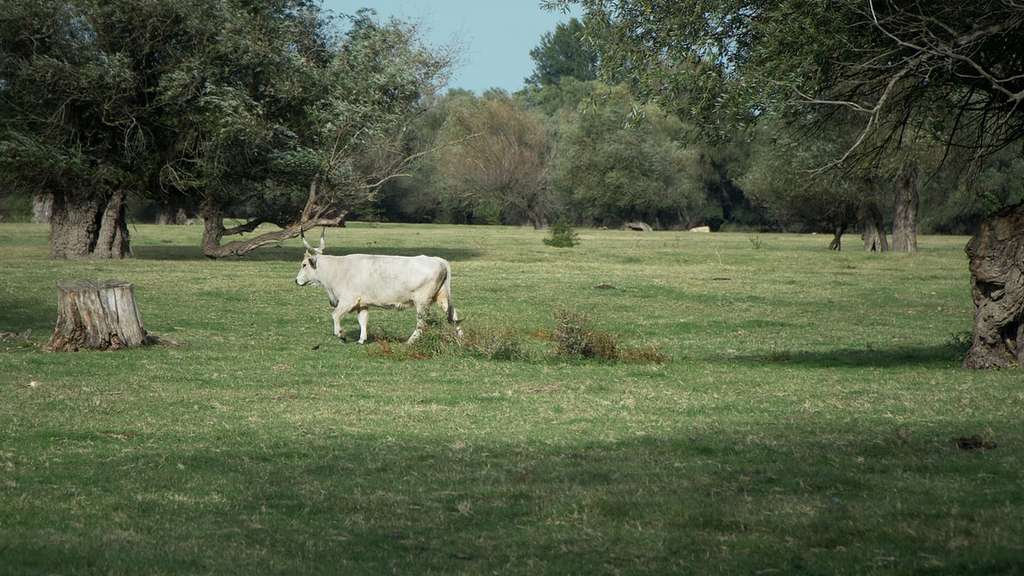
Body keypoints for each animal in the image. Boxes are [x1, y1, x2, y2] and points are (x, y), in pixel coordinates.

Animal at [292, 228, 460, 342]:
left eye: (304, 264)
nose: (296, 280)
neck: (338, 269)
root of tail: (437, 259)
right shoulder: (362, 303)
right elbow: (363, 320)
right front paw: (361, 340)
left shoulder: (348, 300)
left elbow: (335, 315)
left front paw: (340, 334)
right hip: (442, 297)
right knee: (453, 315)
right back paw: (461, 338)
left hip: (422, 302)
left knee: (421, 323)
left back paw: (410, 342)